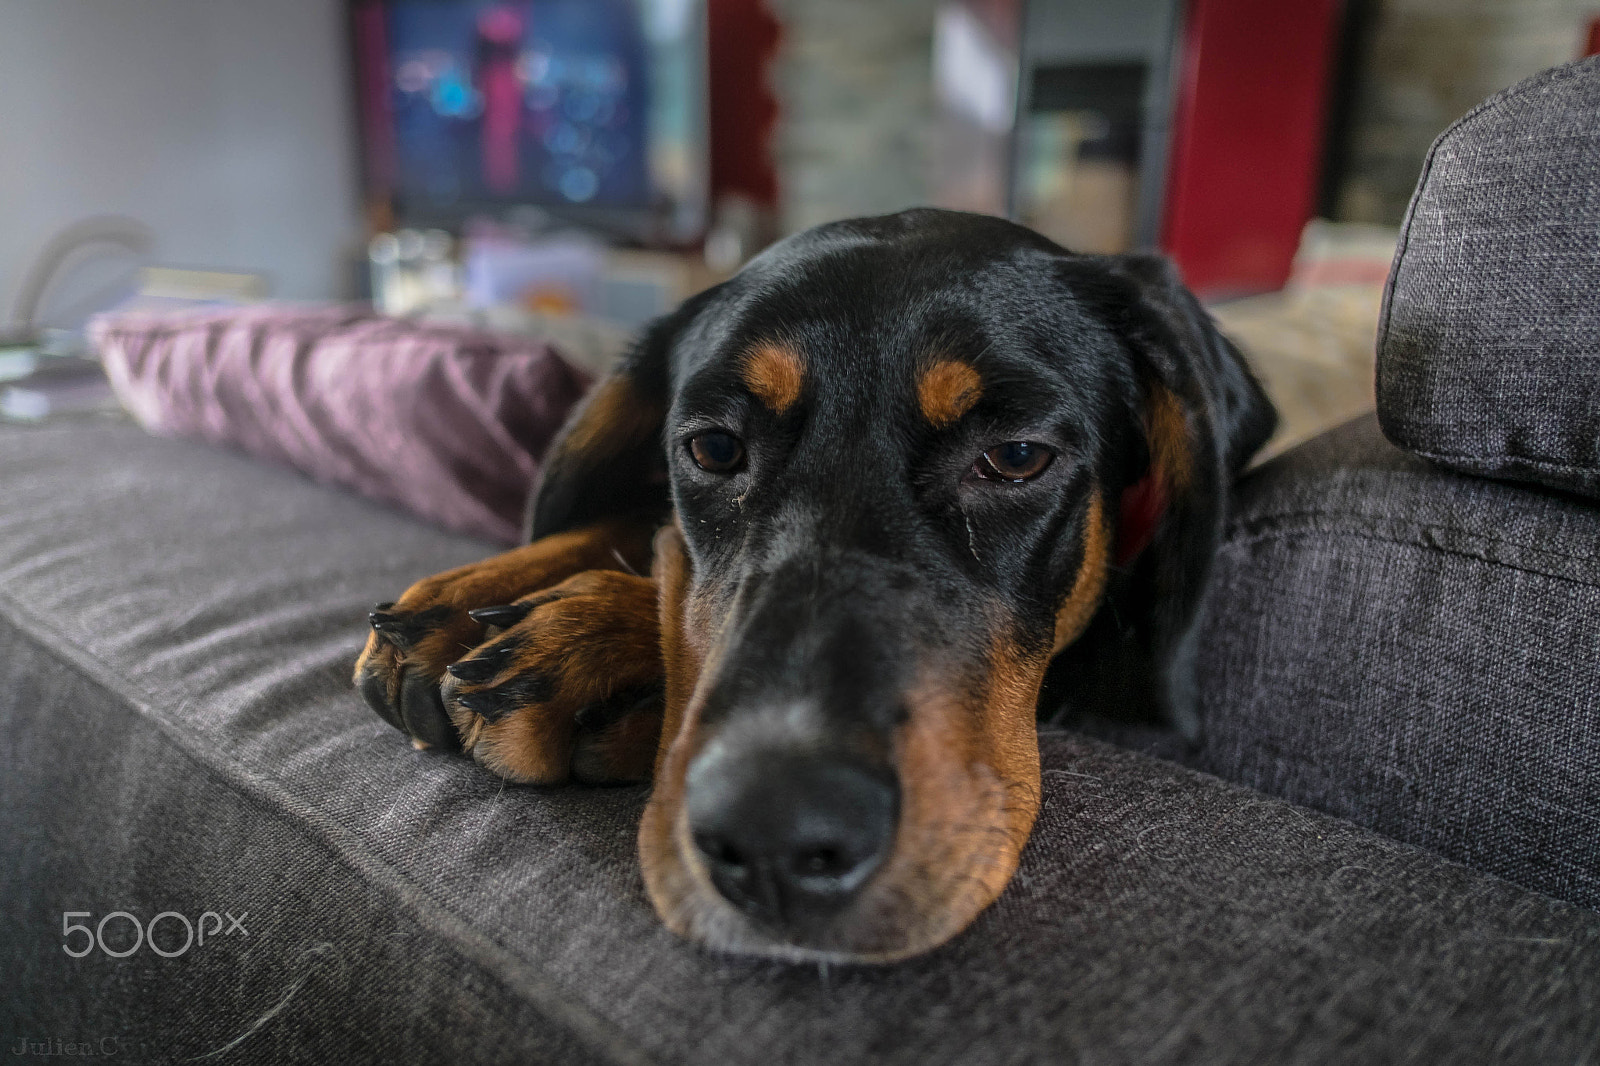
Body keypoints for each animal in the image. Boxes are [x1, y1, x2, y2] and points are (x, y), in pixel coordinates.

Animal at [353, 208, 1273, 960]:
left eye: (1017, 457)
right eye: (714, 447)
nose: (775, 839)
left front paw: (592, 639)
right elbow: (653, 533)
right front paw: (488, 598)